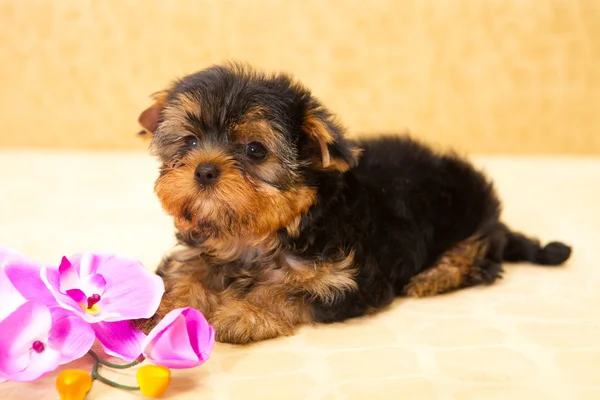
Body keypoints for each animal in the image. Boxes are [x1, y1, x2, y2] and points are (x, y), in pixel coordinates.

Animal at [135, 63, 572, 344]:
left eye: (255, 150)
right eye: (190, 141)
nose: (205, 170)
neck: (262, 234)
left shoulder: (347, 279)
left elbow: (291, 291)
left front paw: (246, 312)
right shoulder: (201, 252)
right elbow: (186, 274)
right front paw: (157, 308)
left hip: (472, 212)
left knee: (482, 252)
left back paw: (435, 275)